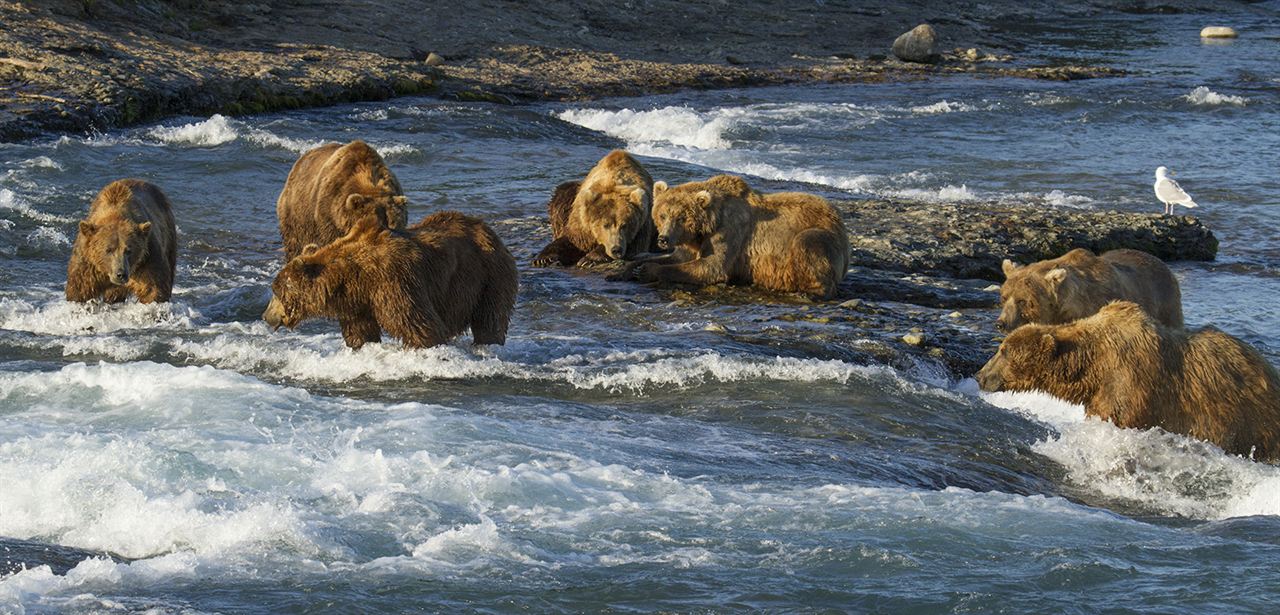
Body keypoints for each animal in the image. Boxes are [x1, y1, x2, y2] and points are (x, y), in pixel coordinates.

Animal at [259, 211, 519, 348]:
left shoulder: (394, 282)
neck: (354, 275)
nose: (265, 315)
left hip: (489, 277)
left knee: (490, 318)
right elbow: (360, 332)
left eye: (276, 291)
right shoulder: (357, 303)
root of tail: (489, 231)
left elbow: (418, 325)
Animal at [629, 174, 849, 298]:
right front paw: (630, 266)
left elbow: (712, 266)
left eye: (681, 217)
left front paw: (648, 270)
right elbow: (678, 257)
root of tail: (840, 221)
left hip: (820, 235)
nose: (663, 239)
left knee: (808, 244)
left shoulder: (729, 231)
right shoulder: (691, 242)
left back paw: (807, 291)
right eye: (663, 214)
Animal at [977, 299, 1280, 463]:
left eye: (1003, 351)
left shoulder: (1131, 385)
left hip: (1250, 419)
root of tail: (1270, 370)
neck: (1092, 366)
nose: (980, 376)